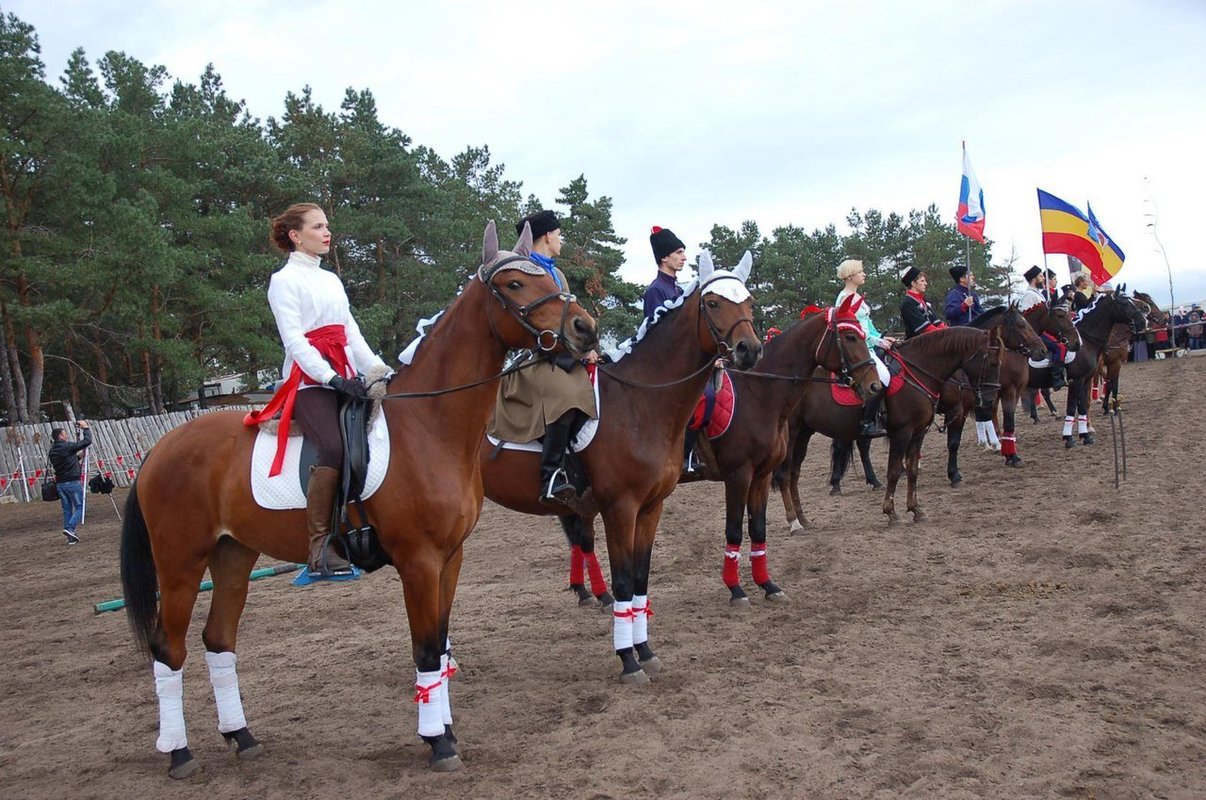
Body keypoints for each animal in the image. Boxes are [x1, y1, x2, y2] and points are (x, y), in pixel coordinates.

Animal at [117, 222, 598, 777]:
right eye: (516, 284)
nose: (585, 329)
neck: (429, 426)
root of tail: (161, 447)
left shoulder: (450, 559)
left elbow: (441, 641)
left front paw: (446, 730)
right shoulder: (418, 561)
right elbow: (426, 649)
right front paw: (439, 743)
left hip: (233, 554)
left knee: (218, 641)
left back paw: (242, 736)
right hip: (181, 562)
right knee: (167, 649)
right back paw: (179, 752)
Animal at [475, 250, 757, 680]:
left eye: (749, 302)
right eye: (712, 303)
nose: (749, 350)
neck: (640, 401)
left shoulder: (651, 508)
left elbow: (640, 578)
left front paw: (645, 650)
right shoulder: (620, 509)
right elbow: (624, 580)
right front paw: (627, 659)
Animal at [776, 325, 1003, 530]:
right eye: (992, 363)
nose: (989, 401)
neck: (918, 371)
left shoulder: (917, 434)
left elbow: (912, 470)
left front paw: (915, 510)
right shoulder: (902, 432)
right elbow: (894, 471)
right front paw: (891, 513)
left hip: (804, 434)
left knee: (794, 474)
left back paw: (803, 518)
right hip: (792, 435)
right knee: (784, 474)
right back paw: (793, 521)